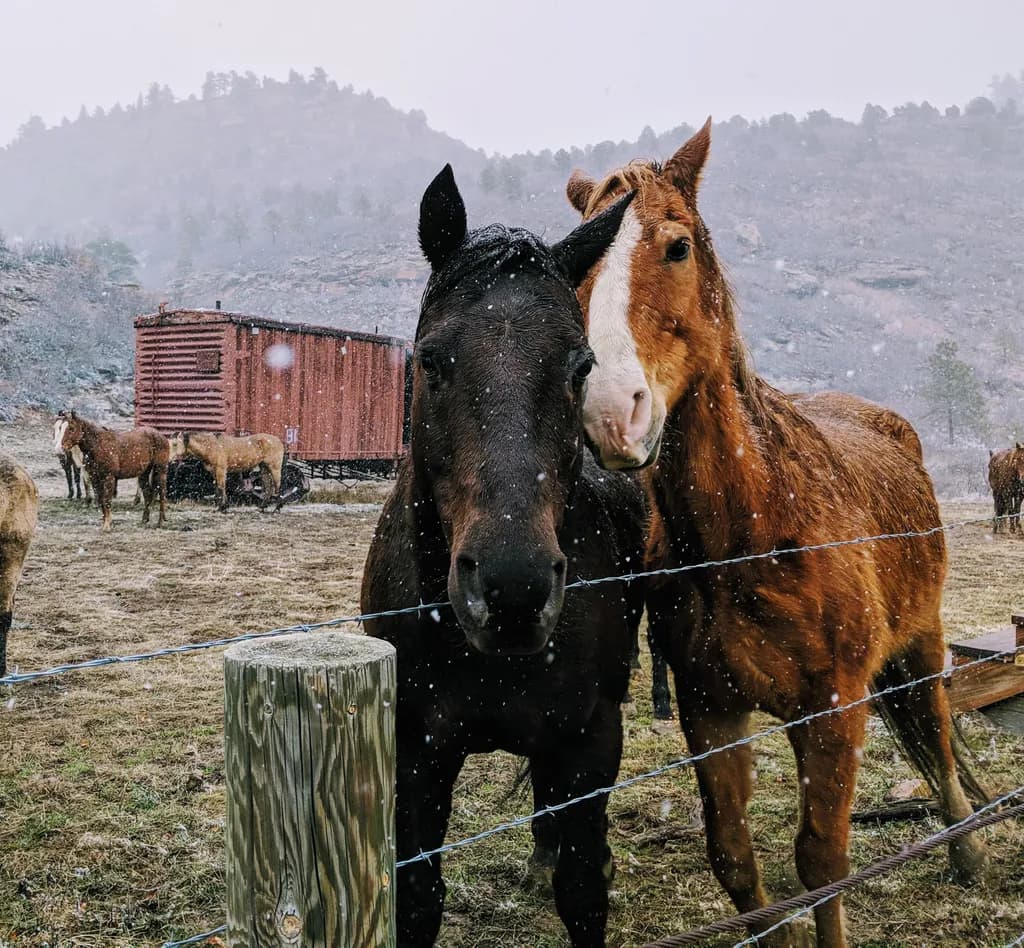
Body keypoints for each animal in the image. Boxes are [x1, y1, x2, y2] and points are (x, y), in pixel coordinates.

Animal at [361, 166, 646, 947]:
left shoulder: (589, 739)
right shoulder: (416, 750)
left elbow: (583, 891)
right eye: (431, 360)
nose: (512, 590)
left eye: (581, 366)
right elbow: (417, 897)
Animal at [566, 121, 988, 947]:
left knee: (938, 737)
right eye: (574, 260)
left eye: (676, 246)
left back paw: (967, 848)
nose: (609, 411)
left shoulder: (833, 707)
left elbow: (822, 859)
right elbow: (734, 856)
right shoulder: (710, 708)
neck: (755, 530)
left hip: (920, 644)